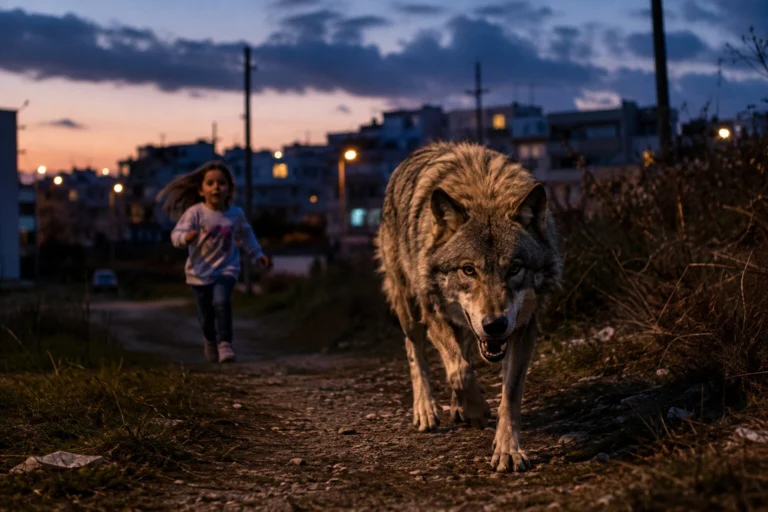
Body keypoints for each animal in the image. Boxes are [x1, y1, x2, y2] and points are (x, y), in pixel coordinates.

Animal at [374, 141, 562, 472]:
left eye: (515, 269)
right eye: (468, 270)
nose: (495, 324)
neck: (484, 193)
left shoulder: (525, 327)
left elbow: (509, 394)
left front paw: (508, 449)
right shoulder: (433, 310)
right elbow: (459, 371)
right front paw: (475, 410)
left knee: (460, 348)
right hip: (408, 306)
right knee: (415, 350)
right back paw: (426, 409)